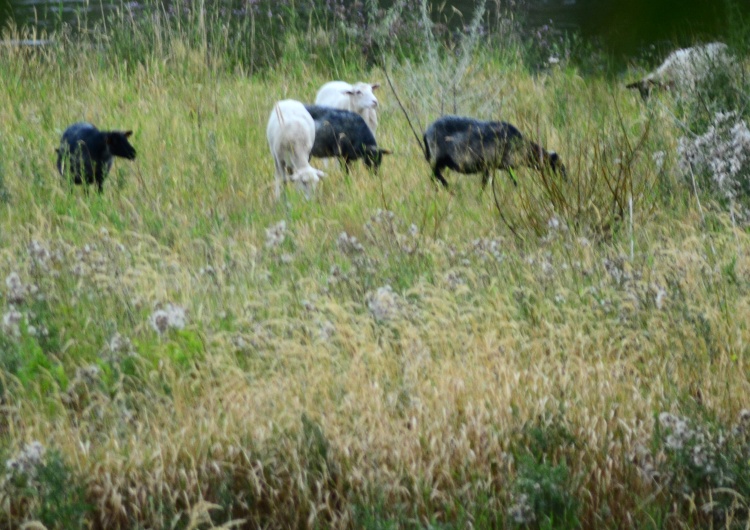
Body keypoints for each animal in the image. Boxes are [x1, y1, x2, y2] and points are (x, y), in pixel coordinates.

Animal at [426, 115, 568, 188]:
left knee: (434, 177)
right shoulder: (496, 165)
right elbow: (513, 182)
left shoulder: (491, 167)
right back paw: (448, 187)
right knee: (434, 176)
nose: (567, 184)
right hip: (438, 159)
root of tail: (426, 131)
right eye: (560, 168)